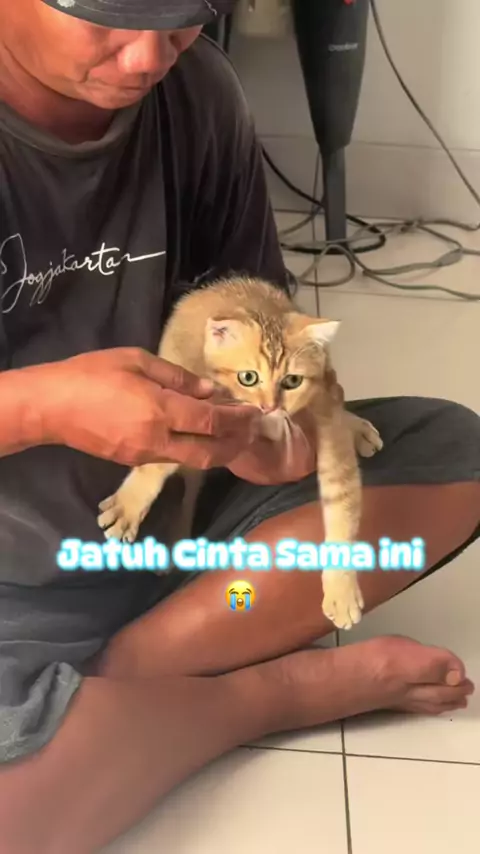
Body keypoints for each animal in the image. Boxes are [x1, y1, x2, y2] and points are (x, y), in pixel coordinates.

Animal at [97, 276, 383, 630]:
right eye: (248, 377)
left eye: (292, 381)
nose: (269, 406)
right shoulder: (196, 402)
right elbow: (163, 453)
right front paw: (130, 503)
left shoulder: (325, 413)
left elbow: (341, 500)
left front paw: (341, 590)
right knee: (188, 491)